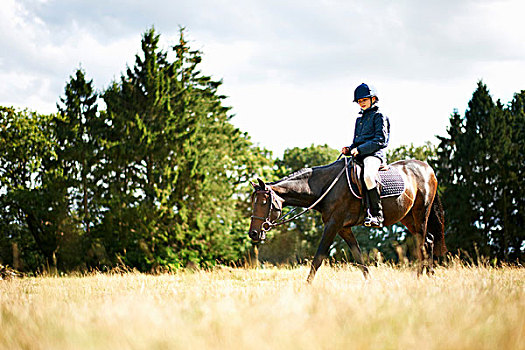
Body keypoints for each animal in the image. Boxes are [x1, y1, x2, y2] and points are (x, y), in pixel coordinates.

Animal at [248, 157, 444, 284]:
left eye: (264, 202)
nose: (253, 233)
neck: (326, 187)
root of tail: (428, 169)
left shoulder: (333, 225)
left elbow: (318, 257)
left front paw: (307, 286)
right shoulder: (344, 229)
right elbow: (359, 258)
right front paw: (370, 283)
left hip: (420, 215)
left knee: (423, 244)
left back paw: (421, 277)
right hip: (408, 218)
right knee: (427, 241)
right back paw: (429, 275)